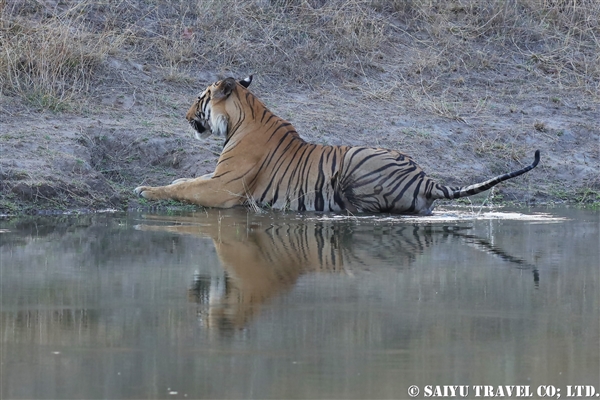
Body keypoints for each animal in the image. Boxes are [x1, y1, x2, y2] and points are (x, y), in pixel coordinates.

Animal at [135, 77, 540, 216]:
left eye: (198, 98)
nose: (186, 115)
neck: (242, 117)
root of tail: (424, 178)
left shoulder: (224, 187)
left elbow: (186, 187)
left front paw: (145, 189)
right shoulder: (217, 177)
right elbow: (184, 181)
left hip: (356, 161)